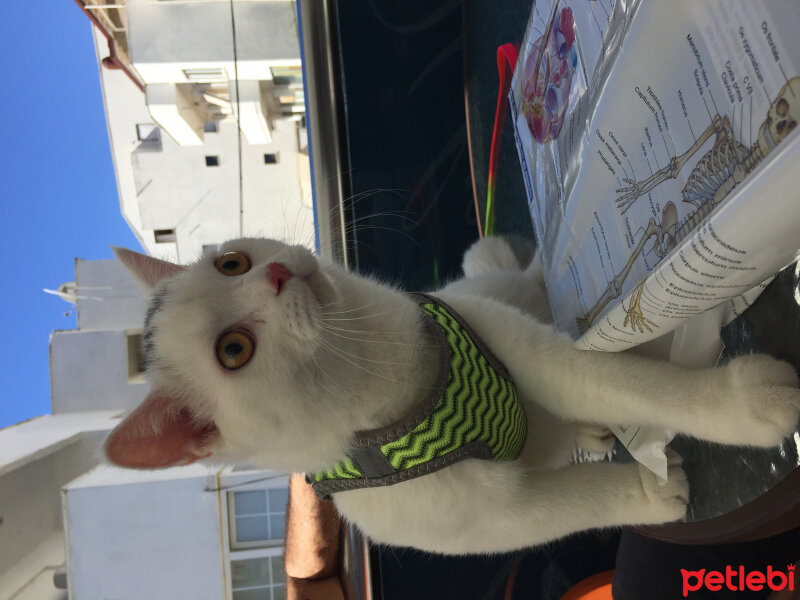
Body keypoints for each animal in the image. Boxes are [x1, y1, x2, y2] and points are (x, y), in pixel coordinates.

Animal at [106, 237, 800, 556]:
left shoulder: (526, 351)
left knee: (531, 291)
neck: (391, 372)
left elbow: (618, 382)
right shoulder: (488, 520)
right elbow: (572, 503)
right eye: (233, 351)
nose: (277, 271)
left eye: (231, 262)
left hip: (509, 300)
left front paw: (742, 402)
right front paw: (649, 491)